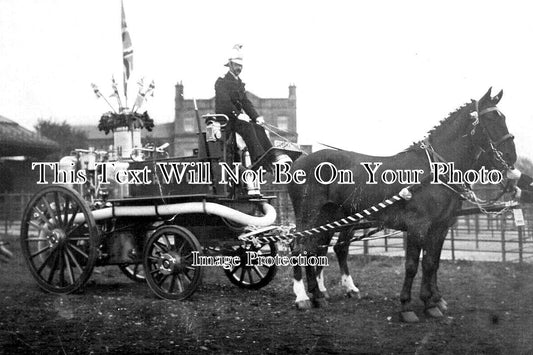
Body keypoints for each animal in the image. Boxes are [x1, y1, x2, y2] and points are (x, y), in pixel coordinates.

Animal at [286, 88, 516, 322]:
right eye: (491, 118)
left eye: (503, 118)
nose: (510, 157)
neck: (433, 170)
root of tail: (299, 161)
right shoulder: (418, 226)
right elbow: (413, 265)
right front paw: (407, 306)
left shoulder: (440, 227)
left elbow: (432, 263)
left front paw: (432, 303)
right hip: (309, 215)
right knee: (299, 248)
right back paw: (302, 297)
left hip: (329, 217)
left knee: (316, 249)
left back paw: (319, 294)